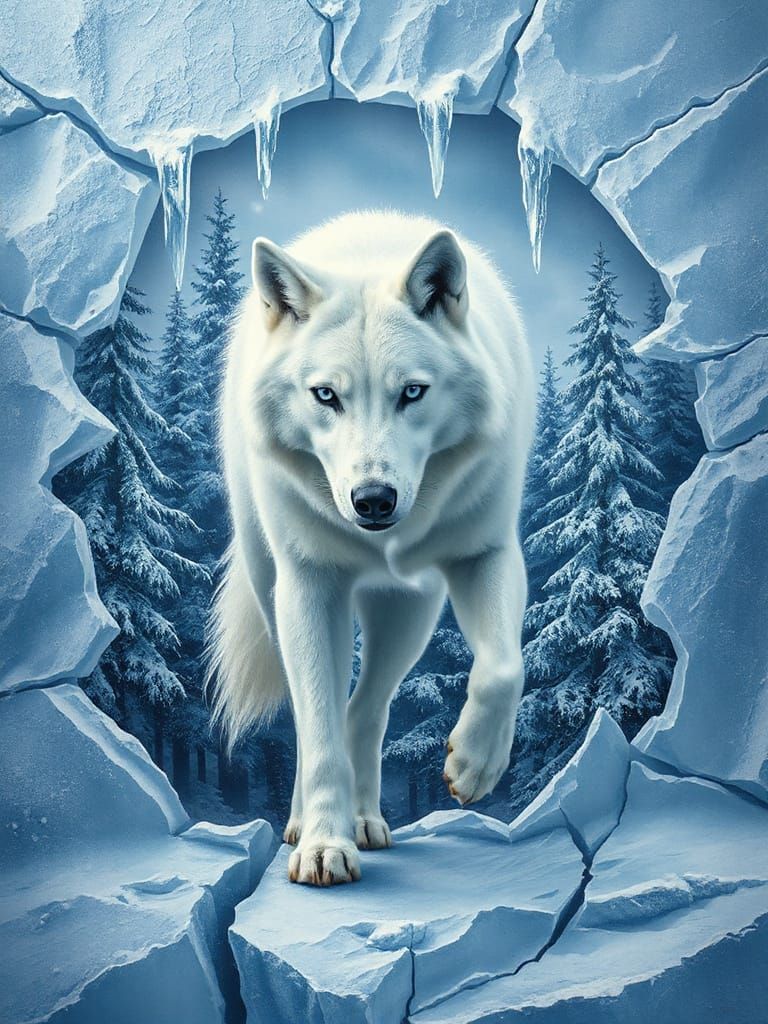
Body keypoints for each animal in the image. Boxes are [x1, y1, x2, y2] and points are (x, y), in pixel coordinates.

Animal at [209, 210, 535, 886]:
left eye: (411, 392)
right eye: (325, 395)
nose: (374, 500)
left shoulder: (486, 555)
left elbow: (502, 667)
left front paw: (473, 766)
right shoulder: (308, 584)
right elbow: (319, 730)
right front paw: (322, 848)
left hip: (409, 610)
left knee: (366, 706)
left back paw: (364, 819)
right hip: (271, 587)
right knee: (318, 717)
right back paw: (307, 822)